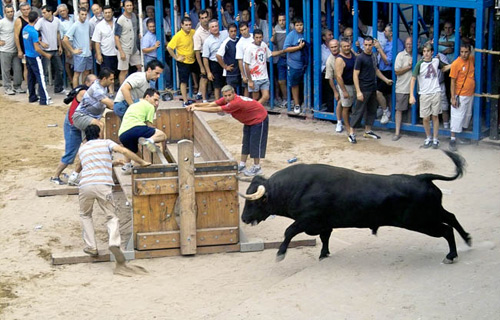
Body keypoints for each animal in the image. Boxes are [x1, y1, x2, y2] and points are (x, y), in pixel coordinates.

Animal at [240, 151, 470, 264]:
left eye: (252, 201)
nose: (243, 218)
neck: (295, 187)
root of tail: (422, 177)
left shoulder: (307, 220)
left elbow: (289, 231)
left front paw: (280, 254)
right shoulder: (324, 224)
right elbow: (325, 237)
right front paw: (324, 254)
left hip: (422, 221)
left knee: (446, 229)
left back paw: (451, 255)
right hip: (433, 213)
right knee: (452, 217)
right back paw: (467, 239)